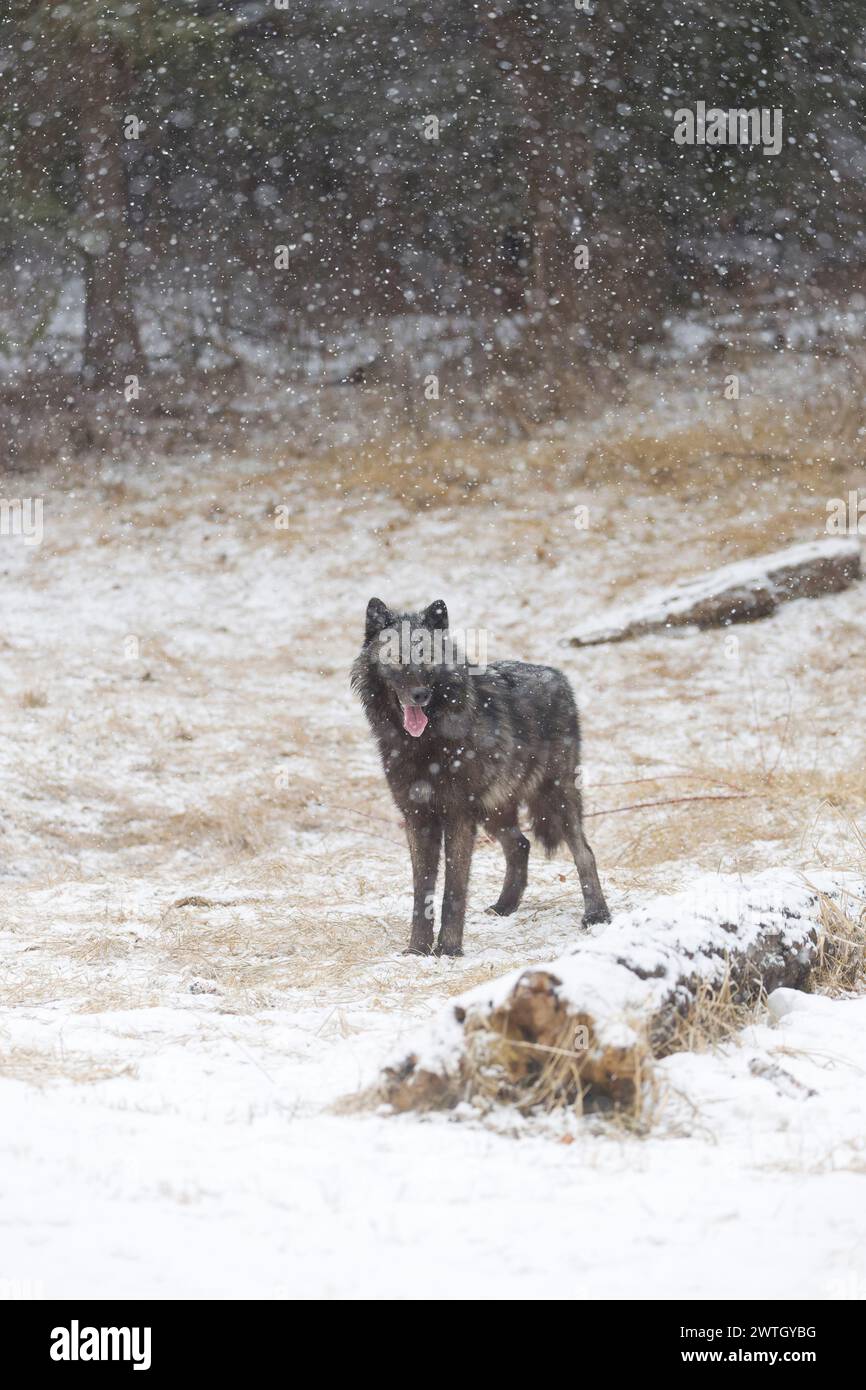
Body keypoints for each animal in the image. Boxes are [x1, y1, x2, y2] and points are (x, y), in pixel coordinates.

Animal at [351, 597, 610, 956]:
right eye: (399, 659)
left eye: (428, 657)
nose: (419, 695)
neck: (426, 745)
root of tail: (556, 675)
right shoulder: (417, 818)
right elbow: (422, 891)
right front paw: (417, 950)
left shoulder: (459, 816)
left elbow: (454, 888)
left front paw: (448, 949)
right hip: (493, 810)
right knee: (520, 845)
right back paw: (505, 907)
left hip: (556, 799)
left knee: (584, 852)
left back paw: (597, 914)